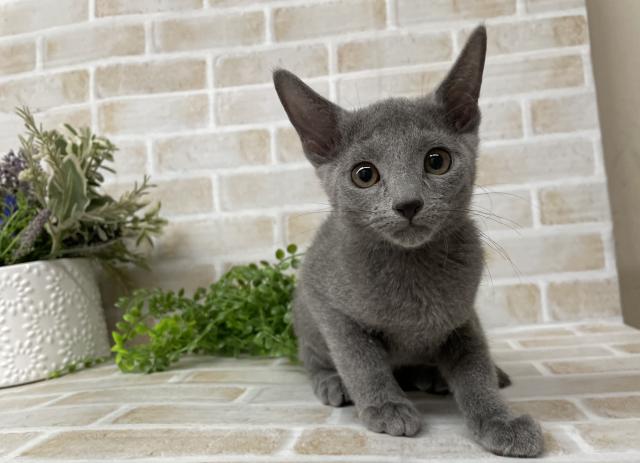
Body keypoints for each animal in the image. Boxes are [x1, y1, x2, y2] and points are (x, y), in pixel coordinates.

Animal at [272, 27, 544, 458]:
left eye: (437, 161)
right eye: (364, 174)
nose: (408, 203)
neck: (412, 268)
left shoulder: (463, 317)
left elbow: (476, 369)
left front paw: (500, 420)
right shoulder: (327, 302)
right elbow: (360, 359)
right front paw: (386, 406)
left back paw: (436, 375)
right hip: (305, 321)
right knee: (313, 359)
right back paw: (334, 383)